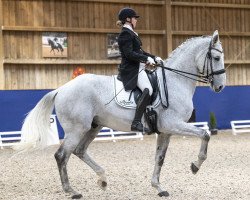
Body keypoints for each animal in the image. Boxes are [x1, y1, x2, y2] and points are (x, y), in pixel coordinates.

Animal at [16, 30, 227, 198]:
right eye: (216, 58)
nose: (220, 87)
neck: (175, 81)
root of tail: (61, 89)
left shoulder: (165, 131)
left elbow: (159, 158)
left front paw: (158, 187)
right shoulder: (173, 124)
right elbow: (205, 134)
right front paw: (195, 166)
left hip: (94, 126)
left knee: (79, 151)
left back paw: (102, 179)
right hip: (76, 129)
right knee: (62, 155)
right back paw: (72, 191)